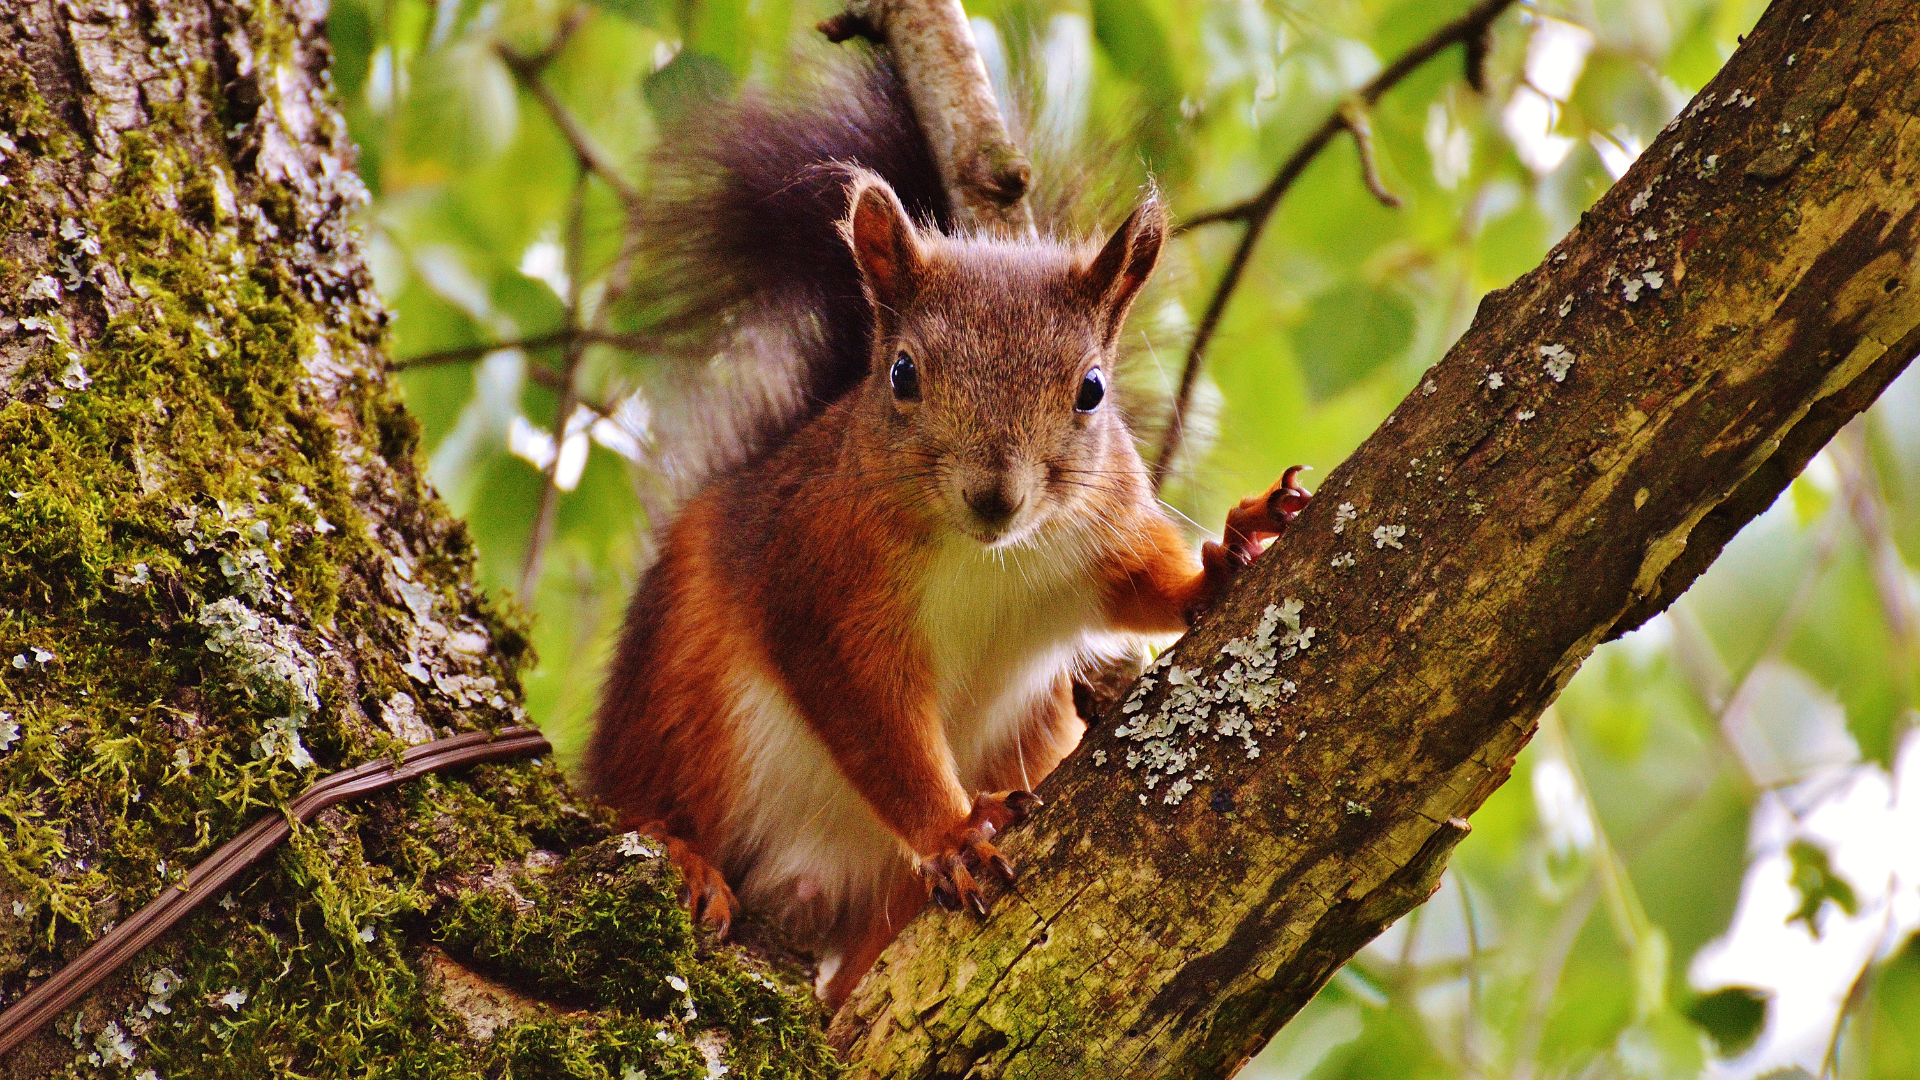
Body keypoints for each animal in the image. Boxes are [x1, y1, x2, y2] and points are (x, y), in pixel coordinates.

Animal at [579, 56, 1305, 999]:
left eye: (1093, 390)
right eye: (901, 374)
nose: (995, 498)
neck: (988, 559)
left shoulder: (1102, 538)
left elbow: (1148, 590)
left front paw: (1229, 552)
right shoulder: (823, 591)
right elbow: (876, 728)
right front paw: (952, 835)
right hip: (679, 694)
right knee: (642, 797)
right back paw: (683, 856)